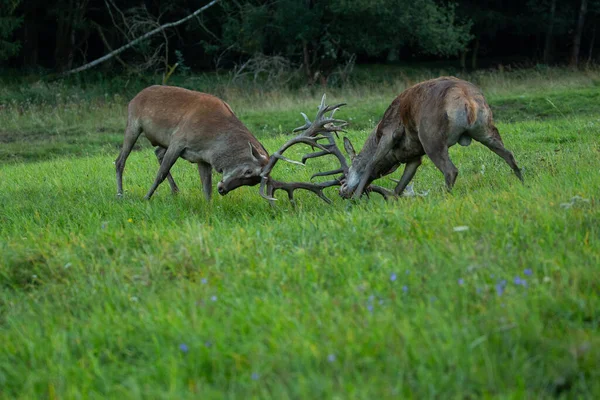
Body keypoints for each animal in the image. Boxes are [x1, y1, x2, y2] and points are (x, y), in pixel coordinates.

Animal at [114, 86, 268, 202]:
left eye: (253, 182)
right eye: (248, 171)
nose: (222, 189)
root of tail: (134, 98)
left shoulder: (202, 158)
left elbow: (207, 188)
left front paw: (209, 208)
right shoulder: (178, 140)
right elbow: (161, 174)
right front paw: (146, 197)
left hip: (162, 140)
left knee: (157, 152)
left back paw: (175, 190)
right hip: (133, 125)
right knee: (120, 160)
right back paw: (120, 194)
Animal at [340, 76, 524, 199]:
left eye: (349, 170)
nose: (343, 191)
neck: (393, 158)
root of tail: (466, 98)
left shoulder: (389, 133)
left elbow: (371, 163)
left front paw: (356, 198)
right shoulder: (414, 156)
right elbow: (400, 186)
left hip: (431, 137)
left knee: (451, 170)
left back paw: (446, 196)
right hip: (485, 129)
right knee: (508, 154)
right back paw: (523, 183)